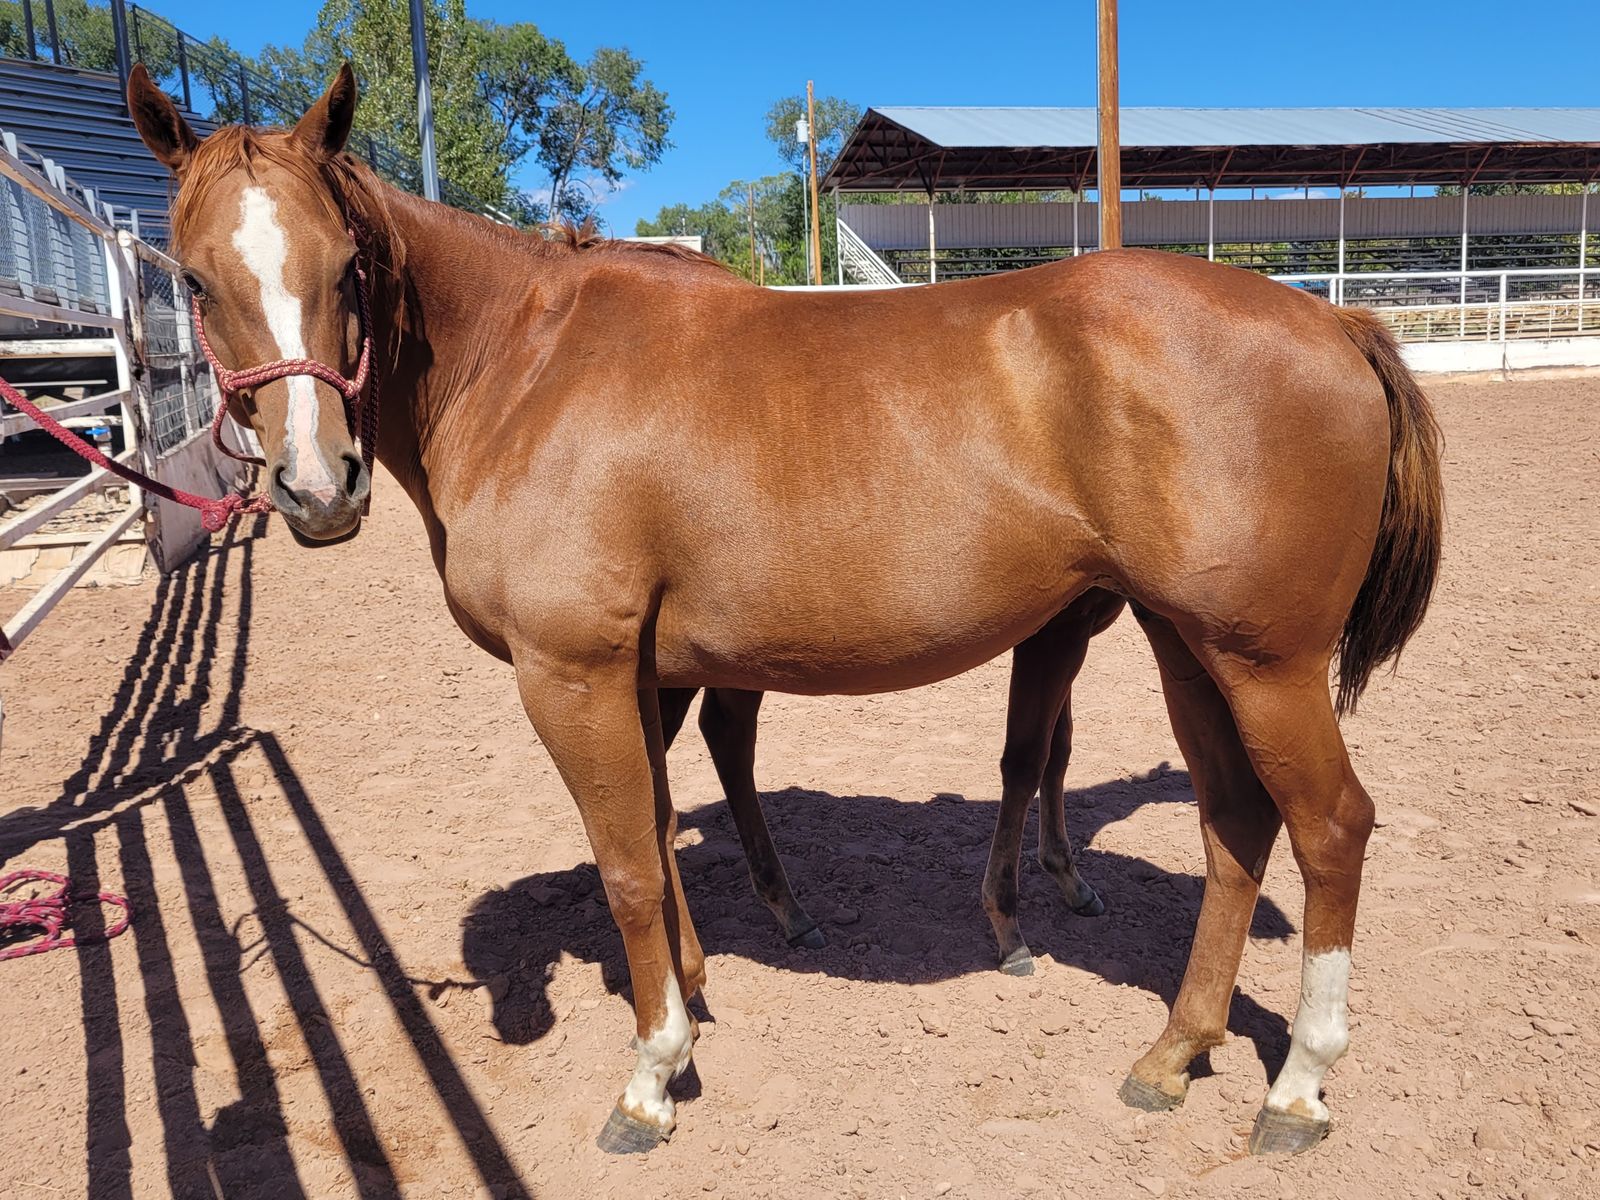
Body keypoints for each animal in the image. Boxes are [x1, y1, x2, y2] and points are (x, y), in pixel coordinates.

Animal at [129, 64, 1443, 1157]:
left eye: (347, 267)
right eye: (194, 280)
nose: (316, 487)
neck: (524, 365)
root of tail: (1331, 319)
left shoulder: (572, 673)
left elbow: (626, 865)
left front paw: (652, 1074)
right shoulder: (644, 675)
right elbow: (660, 834)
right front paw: (691, 995)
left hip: (1264, 662)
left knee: (1329, 827)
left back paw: (1297, 1087)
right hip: (1190, 648)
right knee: (1235, 826)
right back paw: (1174, 1052)